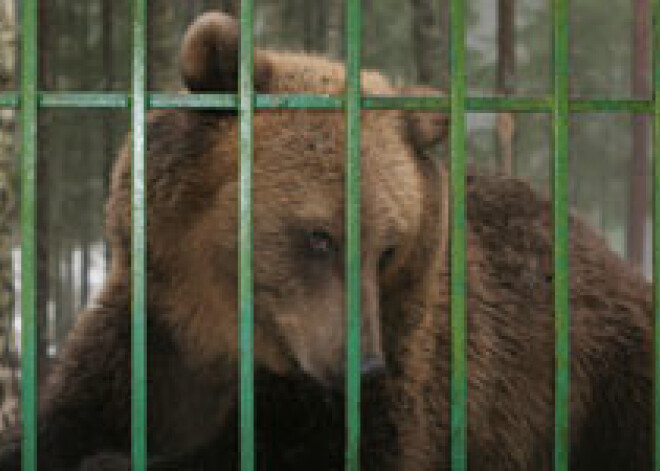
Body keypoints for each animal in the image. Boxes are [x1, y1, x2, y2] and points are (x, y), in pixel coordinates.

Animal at [0, 11, 652, 471]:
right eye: (319, 237)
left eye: (388, 247)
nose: (363, 364)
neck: (218, 334)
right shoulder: (144, 341)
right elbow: (62, 425)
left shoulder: (396, 382)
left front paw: (113, 461)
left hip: (601, 383)